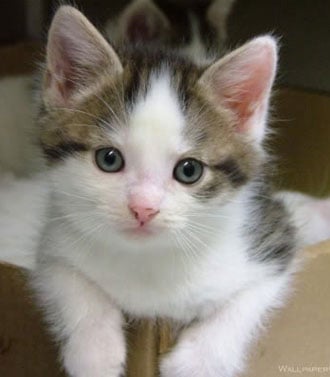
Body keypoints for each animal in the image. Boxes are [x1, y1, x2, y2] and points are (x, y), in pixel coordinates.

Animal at [31, 5, 300, 376]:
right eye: (108, 159)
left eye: (189, 170)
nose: (143, 208)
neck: (150, 258)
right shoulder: (54, 241)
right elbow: (65, 276)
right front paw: (94, 350)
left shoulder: (275, 235)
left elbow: (247, 300)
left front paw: (200, 361)